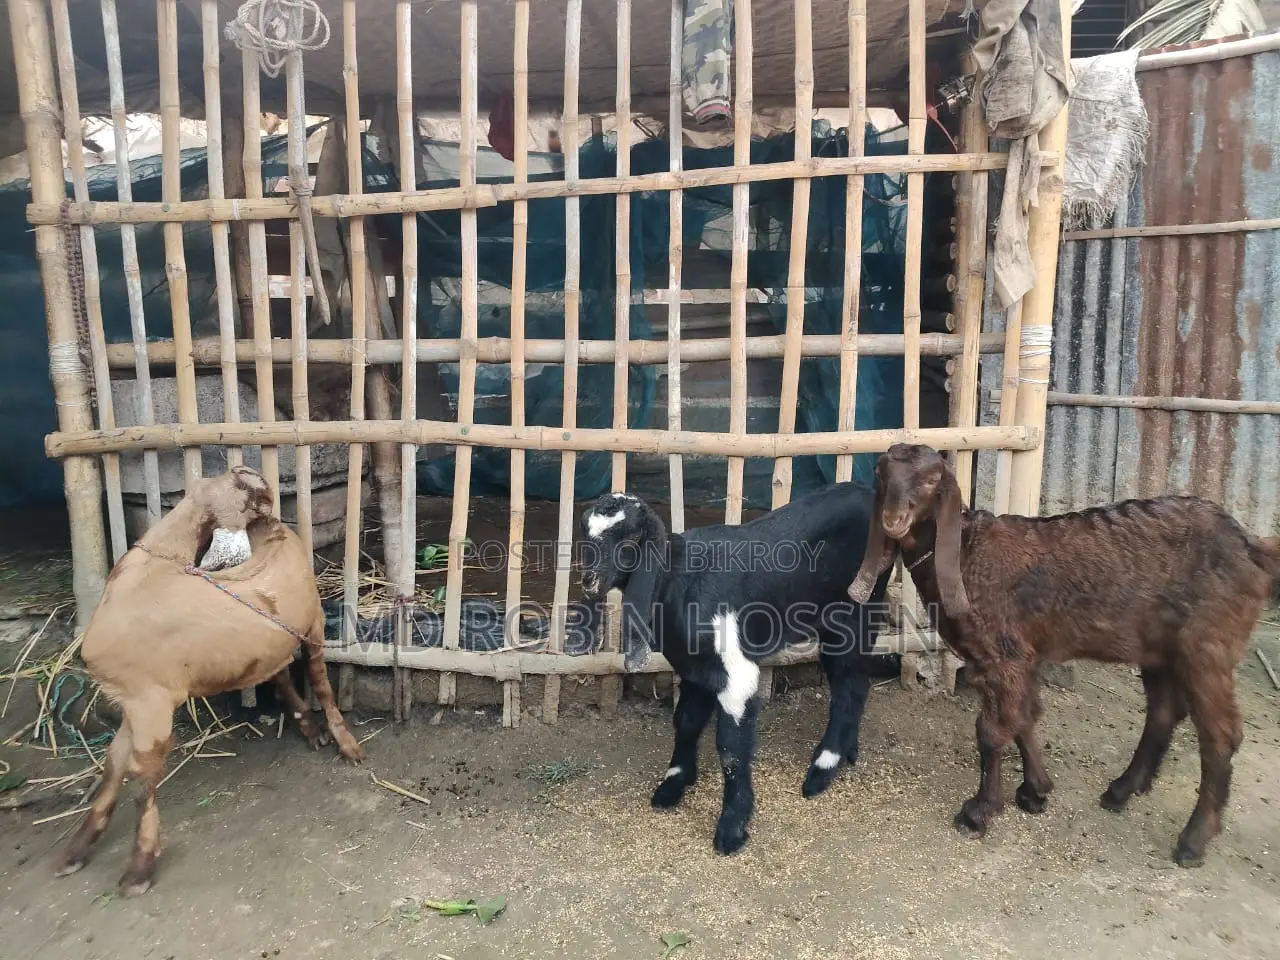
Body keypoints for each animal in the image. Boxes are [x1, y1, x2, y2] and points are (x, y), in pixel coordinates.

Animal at [56, 466, 363, 896]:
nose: (256, 484)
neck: (148, 576)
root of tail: (280, 530)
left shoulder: (151, 703)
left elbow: (140, 782)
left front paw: (139, 870)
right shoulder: (134, 703)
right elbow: (113, 766)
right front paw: (78, 849)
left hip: (314, 623)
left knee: (320, 680)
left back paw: (345, 742)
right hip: (271, 641)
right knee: (278, 673)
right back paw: (309, 727)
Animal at [577, 484, 896, 855]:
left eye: (629, 540)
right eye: (587, 536)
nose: (589, 581)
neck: (679, 580)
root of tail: (865, 491)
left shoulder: (737, 673)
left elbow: (731, 749)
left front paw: (732, 827)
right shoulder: (694, 668)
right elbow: (686, 721)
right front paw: (674, 783)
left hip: (855, 616)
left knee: (849, 688)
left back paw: (822, 769)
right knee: (856, 683)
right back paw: (848, 751)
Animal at [848, 443, 1280, 867]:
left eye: (932, 480)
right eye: (881, 474)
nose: (893, 520)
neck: (967, 556)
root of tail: (1253, 548)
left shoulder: (1003, 653)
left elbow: (992, 730)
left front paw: (980, 811)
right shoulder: (1017, 656)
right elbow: (1024, 717)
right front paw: (1035, 791)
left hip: (1208, 647)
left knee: (1220, 735)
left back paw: (1193, 840)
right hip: (1160, 648)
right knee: (1163, 712)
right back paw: (1122, 790)